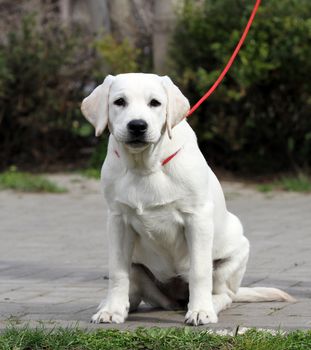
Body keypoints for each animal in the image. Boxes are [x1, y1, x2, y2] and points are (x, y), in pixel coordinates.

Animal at [81, 73, 294, 326]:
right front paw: (111, 310)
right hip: (139, 268)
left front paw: (200, 311)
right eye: (119, 102)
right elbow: (117, 271)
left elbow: (199, 271)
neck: (145, 167)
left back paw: (209, 305)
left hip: (235, 254)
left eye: (155, 103)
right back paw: (119, 305)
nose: (137, 125)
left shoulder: (197, 219)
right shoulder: (117, 220)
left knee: (223, 294)